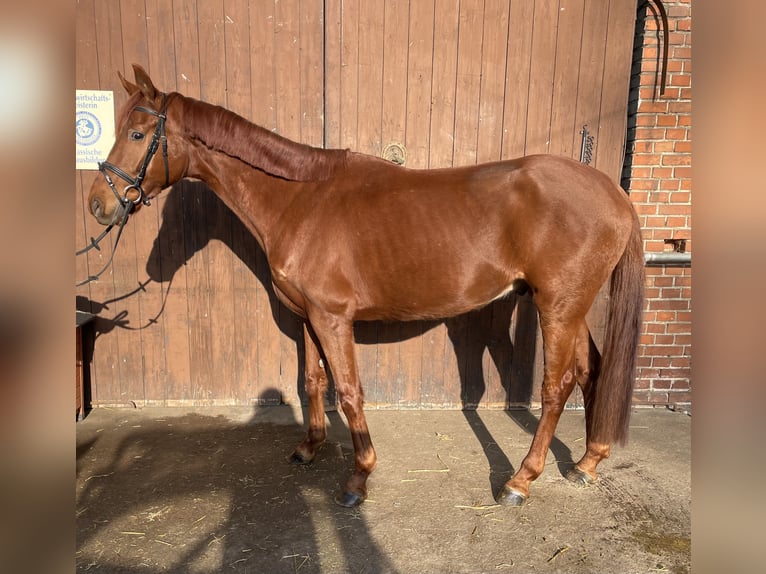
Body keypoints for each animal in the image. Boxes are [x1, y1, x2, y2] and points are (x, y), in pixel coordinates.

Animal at [87, 65, 644, 510]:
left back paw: (519, 481)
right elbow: (313, 382)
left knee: (556, 387)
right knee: (589, 371)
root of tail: (612, 193)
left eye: (137, 134)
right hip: (570, 308)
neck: (300, 201)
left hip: (558, 307)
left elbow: (350, 392)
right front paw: (309, 449)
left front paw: (358, 477)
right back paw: (588, 462)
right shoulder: (307, 316)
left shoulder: (333, 317)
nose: (98, 204)